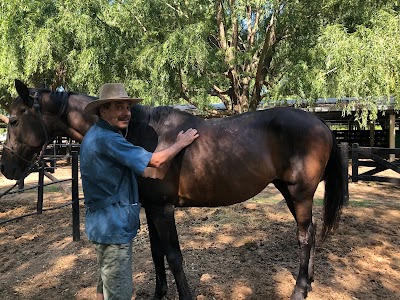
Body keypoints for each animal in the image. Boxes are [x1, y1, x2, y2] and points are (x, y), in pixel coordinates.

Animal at [0, 79, 346, 300]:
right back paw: (309, 282)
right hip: (290, 192)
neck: (140, 134)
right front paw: (158, 293)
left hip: (300, 192)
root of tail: (322, 124)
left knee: (304, 236)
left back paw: (299, 289)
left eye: (14, 120)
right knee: (310, 231)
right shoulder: (151, 208)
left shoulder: (163, 210)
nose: (7, 168)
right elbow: (157, 254)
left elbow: (174, 256)